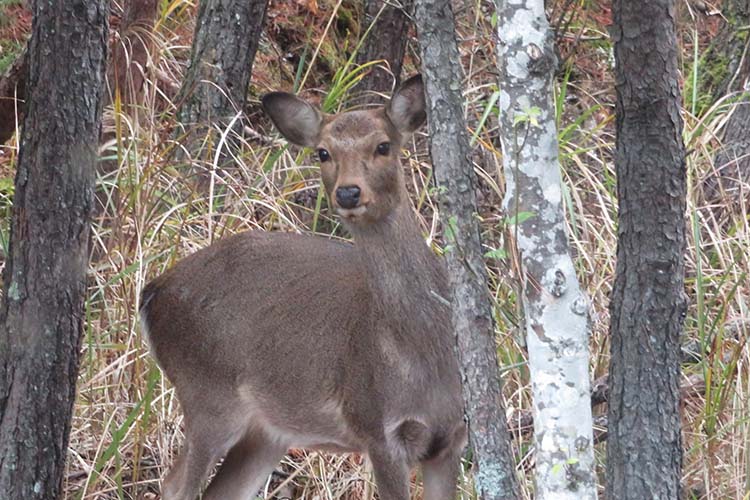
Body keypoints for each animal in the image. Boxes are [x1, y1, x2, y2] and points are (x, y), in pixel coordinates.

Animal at [140, 75, 468, 500]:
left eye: (383, 145)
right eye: (323, 153)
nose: (348, 192)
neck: (426, 352)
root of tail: (153, 290)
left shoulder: (453, 438)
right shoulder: (376, 427)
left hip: (268, 431)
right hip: (207, 393)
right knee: (175, 484)